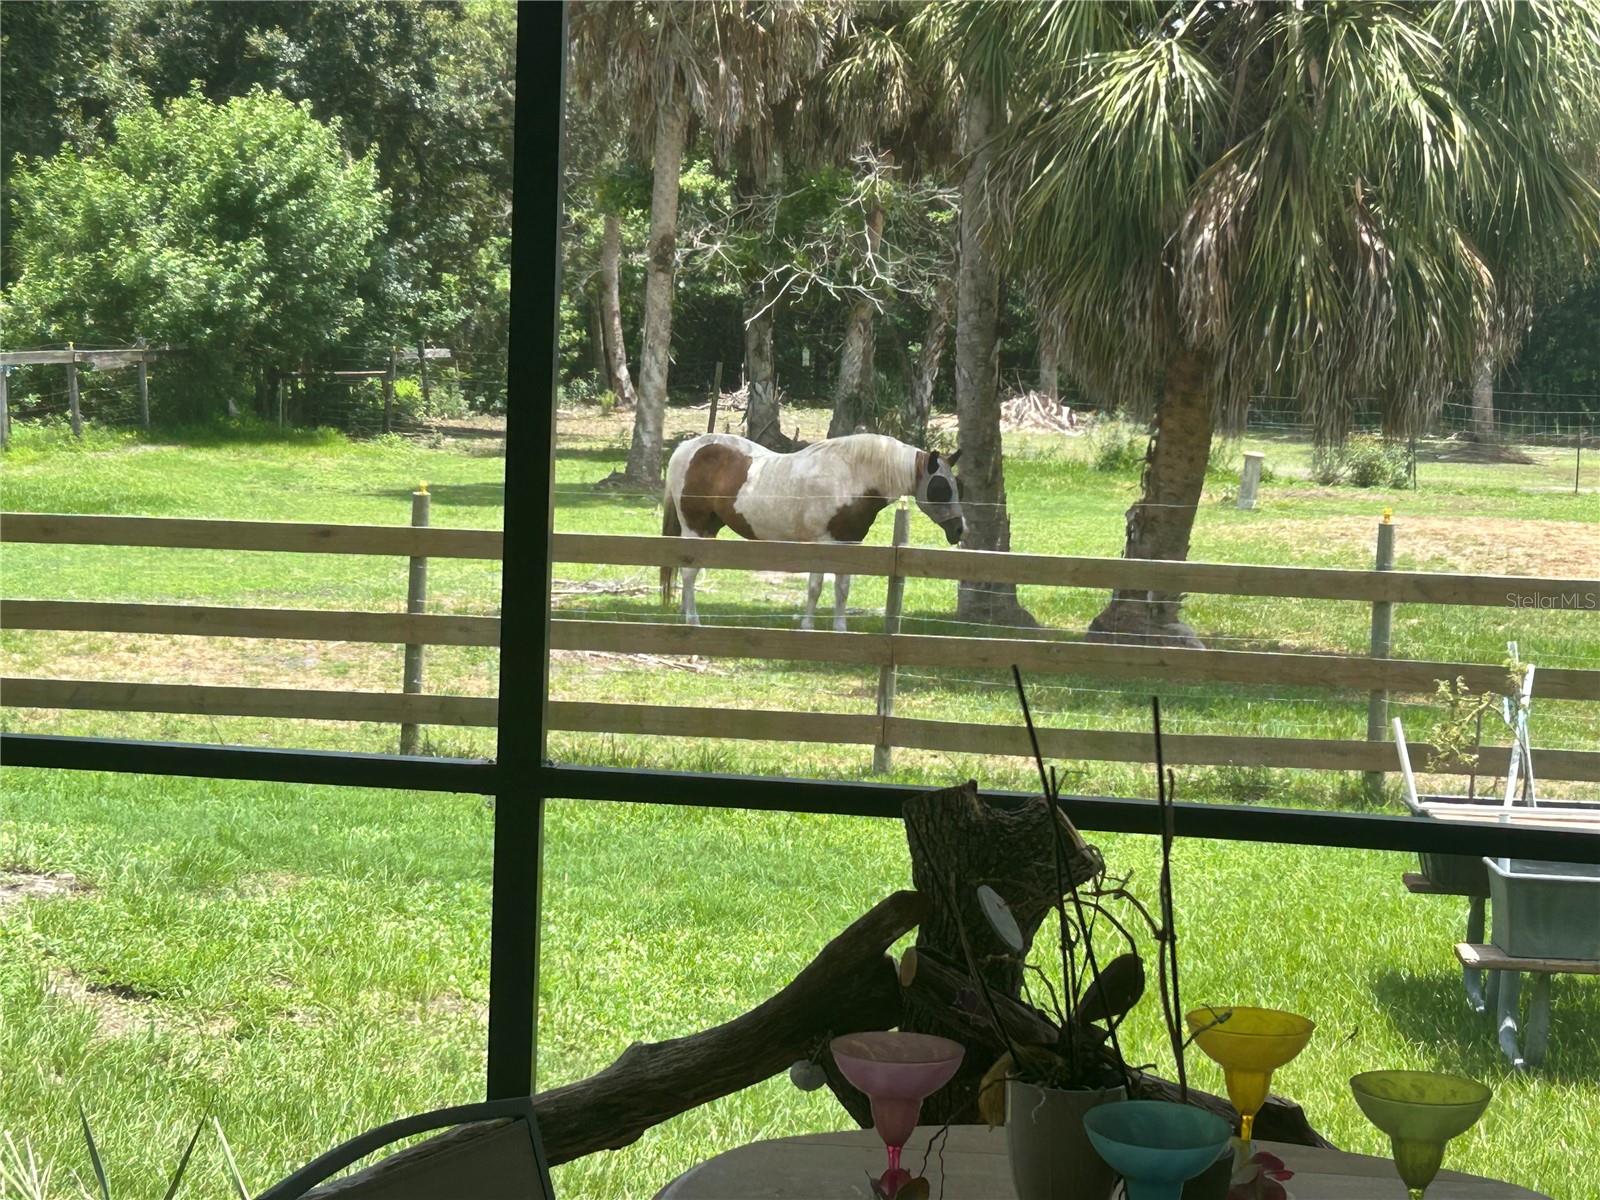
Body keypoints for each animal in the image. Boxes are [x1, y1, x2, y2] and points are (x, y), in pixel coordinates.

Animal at [660, 432, 965, 631]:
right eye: (940, 488)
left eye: (956, 485)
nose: (959, 530)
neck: (852, 477)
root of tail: (687, 448)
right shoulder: (822, 544)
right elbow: (816, 587)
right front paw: (807, 626)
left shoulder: (849, 545)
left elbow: (842, 589)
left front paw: (840, 629)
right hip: (694, 528)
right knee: (688, 574)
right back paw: (693, 620)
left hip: (709, 531)